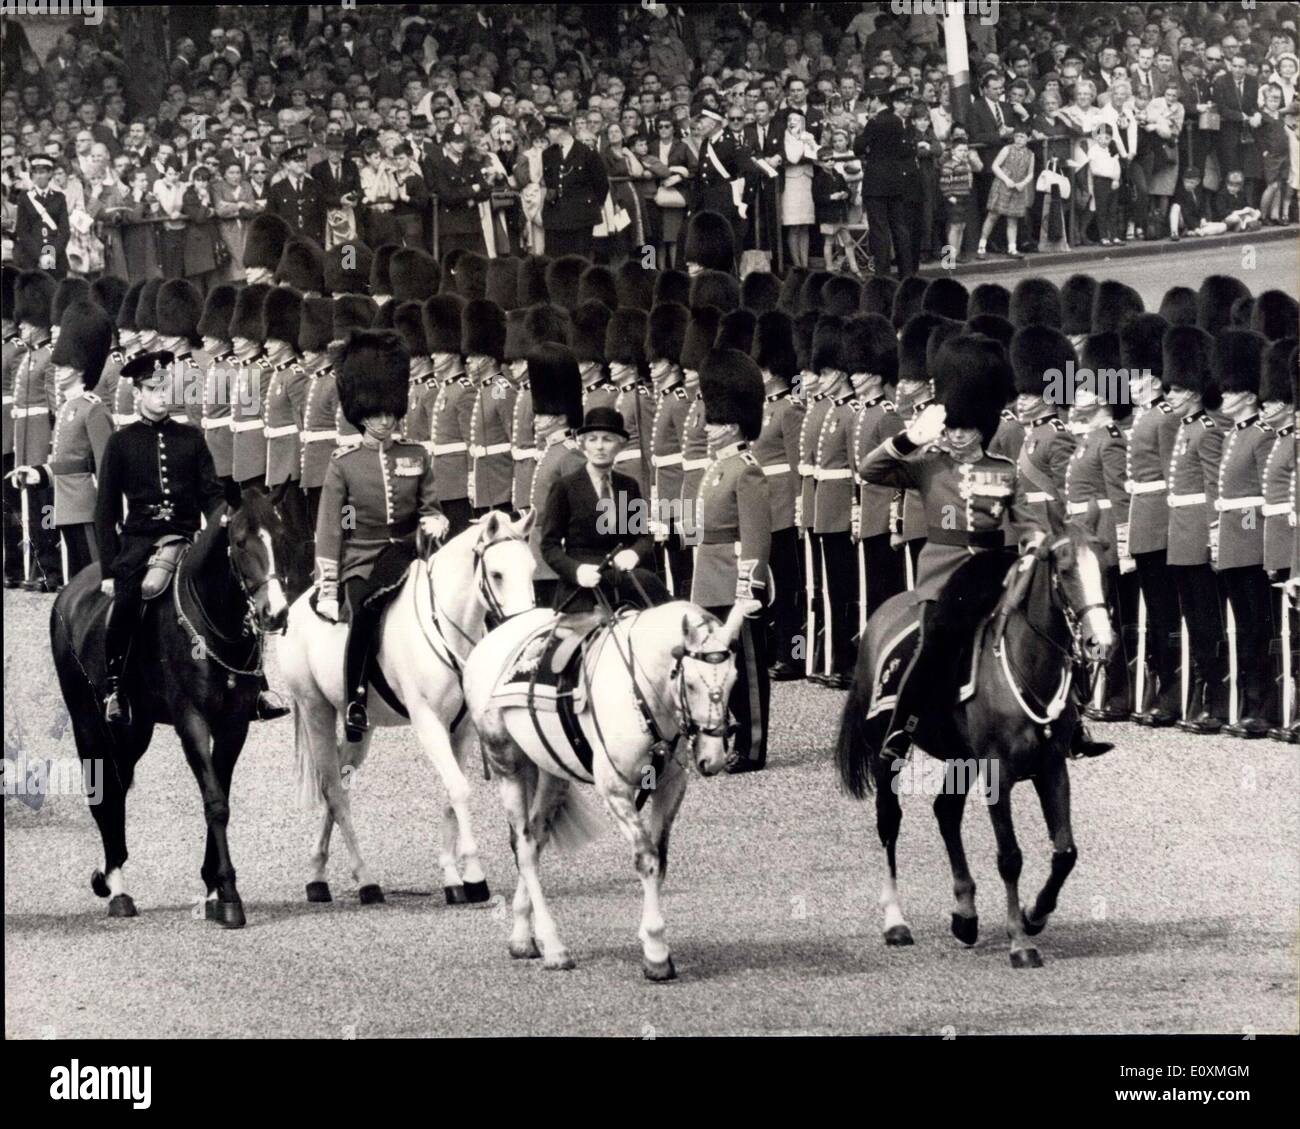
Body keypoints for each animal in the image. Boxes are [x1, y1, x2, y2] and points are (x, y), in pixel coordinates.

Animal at [50, 491, 289, 926]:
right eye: (241, 542)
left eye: (280, 537)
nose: (275, 613)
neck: (213, 620)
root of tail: (69, 591)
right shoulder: (191, 721)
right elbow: (215, 802)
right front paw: (229, 895)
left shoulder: (233, 725)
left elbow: (220, 795)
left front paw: (214, 888)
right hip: (89, 724)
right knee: (103, 795)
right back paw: (117, 889)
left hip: (134, 728)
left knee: (117, 785)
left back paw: (109, 875)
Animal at [278, 512, 533, 910]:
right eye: (497, 574)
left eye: (532, 569)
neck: (445, 625)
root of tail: (298, 606)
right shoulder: (428, 724)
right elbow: (459, 790)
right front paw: (474, 875)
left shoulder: (460, 730)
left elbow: (451, 792)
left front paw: (452, 874)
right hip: (315, 709)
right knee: (333, 791)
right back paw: (366, 881)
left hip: (360, 731)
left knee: (339, 786)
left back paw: (317, 874)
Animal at [462, 600, 759, 978]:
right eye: (691, 684)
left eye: (734, 679)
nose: (714, 757)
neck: (642, 691)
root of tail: (493, 636)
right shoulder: (616, 789)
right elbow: (646, 859)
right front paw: (657, 952)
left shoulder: (669, 787)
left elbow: (660, 860)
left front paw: (652, 944)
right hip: (508, 765)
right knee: (525, 849)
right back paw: (554, 946)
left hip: (552, 772)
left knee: (537, 838)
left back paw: (522, 937)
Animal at [837, 520, 1112, 967]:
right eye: (1065, 570)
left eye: (1104, 567)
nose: (1099, 643)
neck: (1027, 662)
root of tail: (885, 610)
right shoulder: (997, 774)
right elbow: (1010, 857)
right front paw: (1020, 940)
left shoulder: (1052, 767)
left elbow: (1065, 851)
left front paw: (1034, 915)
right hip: (888, 750)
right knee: (889, 820)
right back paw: (895, 920)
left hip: (961, 758)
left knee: (946, 812)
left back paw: (965, 914)